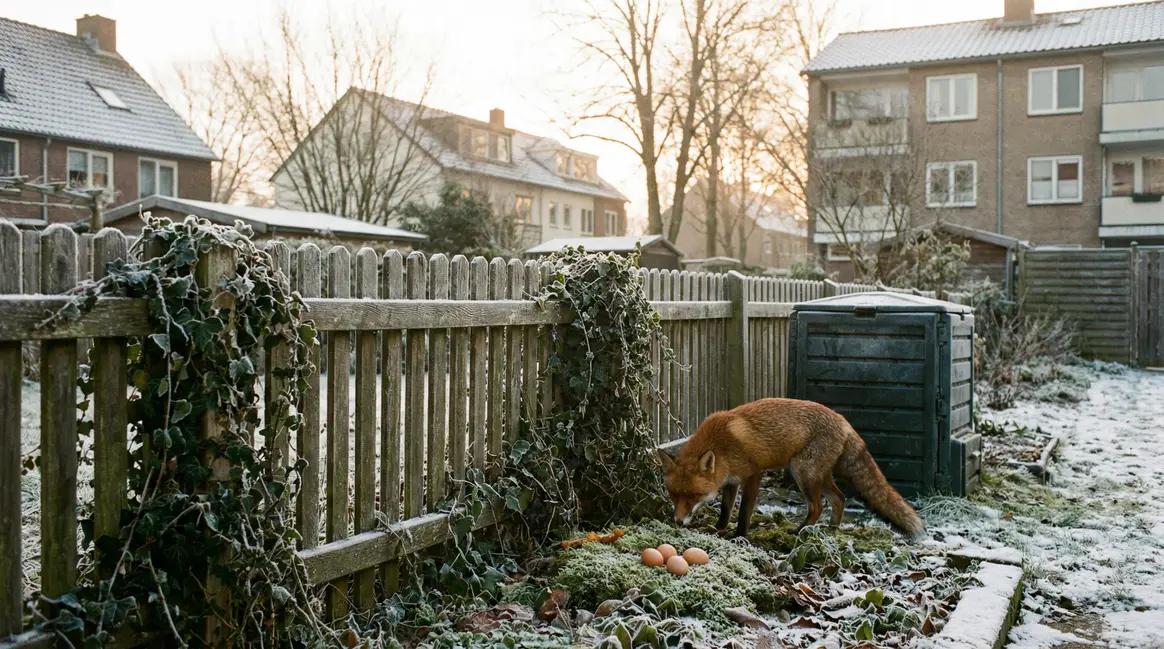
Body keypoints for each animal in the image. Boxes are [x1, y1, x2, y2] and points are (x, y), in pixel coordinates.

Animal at [658, 397, 925, 540]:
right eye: (673, 494)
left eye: (693, 496)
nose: (678, 522)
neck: (721, 444)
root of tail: (844, 421)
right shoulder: (731, 481)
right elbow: (725, 509)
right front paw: (719, 528)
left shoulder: (753, 474)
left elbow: (744, 512)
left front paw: (739, 535)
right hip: (819, 475)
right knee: (839, 498)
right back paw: (832, 529)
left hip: (801, 471)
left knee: (818, 506)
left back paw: (800, 531)